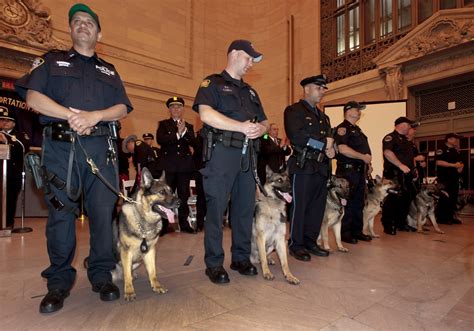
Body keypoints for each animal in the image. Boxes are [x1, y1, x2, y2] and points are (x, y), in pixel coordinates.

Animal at [111, 169, 180, 300]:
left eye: (171, 191)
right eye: (162, 192)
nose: (179, 202)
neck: (144, 220)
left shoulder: (150, 251)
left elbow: (153, 272)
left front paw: (156, 286)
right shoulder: (126, 251)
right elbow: (127, 276)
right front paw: (129, 291)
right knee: (124, 273)